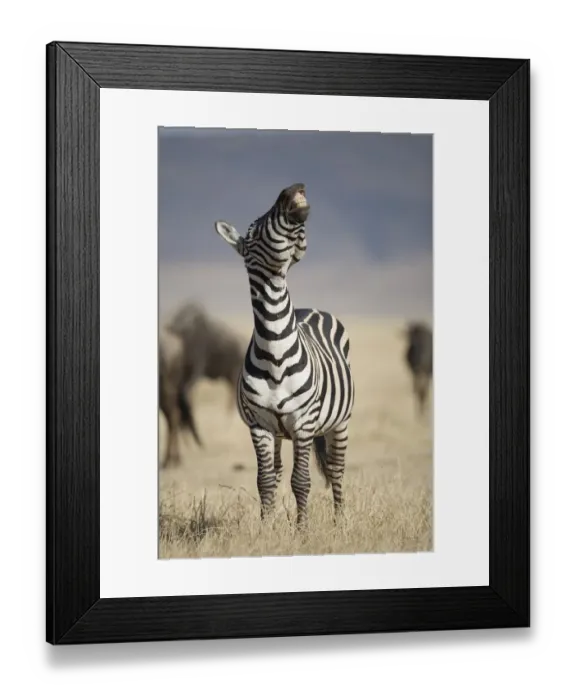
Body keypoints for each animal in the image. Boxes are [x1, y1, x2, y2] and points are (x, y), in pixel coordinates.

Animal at [213, 183, 355, 528]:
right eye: (253, 228)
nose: (295, 188)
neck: (275, 352)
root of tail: (310, 308)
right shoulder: (259, 425)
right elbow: (266, 481)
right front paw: (267, 529)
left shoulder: (304, 423)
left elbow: (301, 480)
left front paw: (302, 531)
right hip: (279, 432)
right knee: (277, 471)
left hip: (341, 421)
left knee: (337, 470)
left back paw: (340, 523)